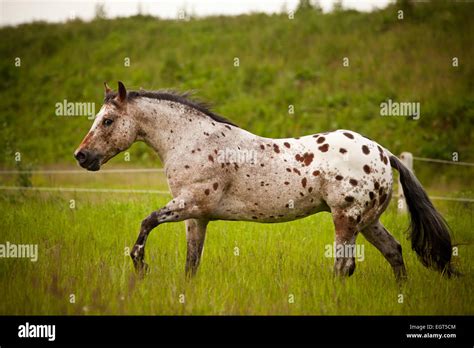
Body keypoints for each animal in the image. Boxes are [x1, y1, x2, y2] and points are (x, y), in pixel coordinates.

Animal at [74, 80, 456, 282]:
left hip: (346, 220)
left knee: (344, 265)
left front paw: (140, 266)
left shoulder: (190, 204)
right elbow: (191, 262)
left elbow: (147, 222)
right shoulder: (197, 217)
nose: (82, 156)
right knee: (394, 251)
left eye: (107, 120)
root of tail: (382, 152)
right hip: (368, 221)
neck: (189, 139)